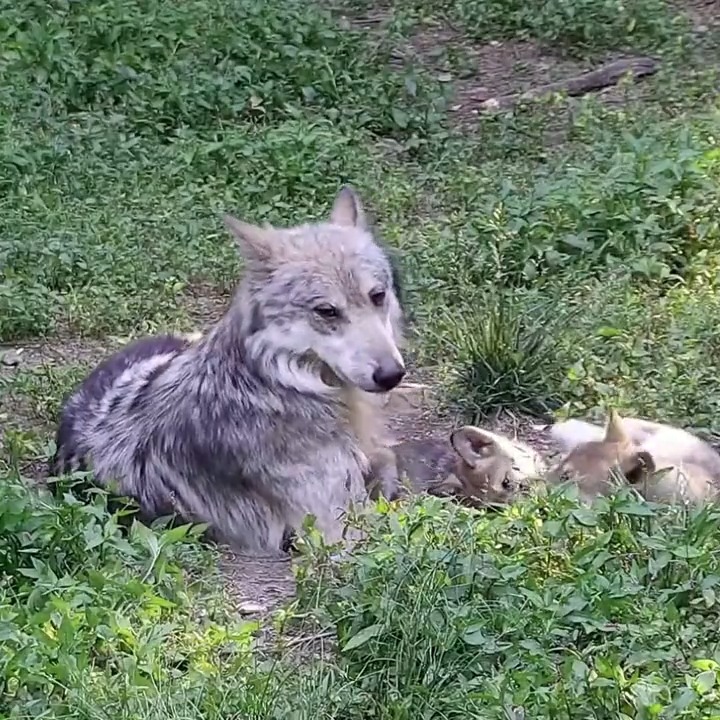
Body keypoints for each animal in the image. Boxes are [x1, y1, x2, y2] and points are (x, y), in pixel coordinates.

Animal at [51, 186, 407, 556]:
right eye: (327, 311)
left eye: (377, 296)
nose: (391, 375)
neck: (280, 385)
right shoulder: (336, 534)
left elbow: (385, 463)